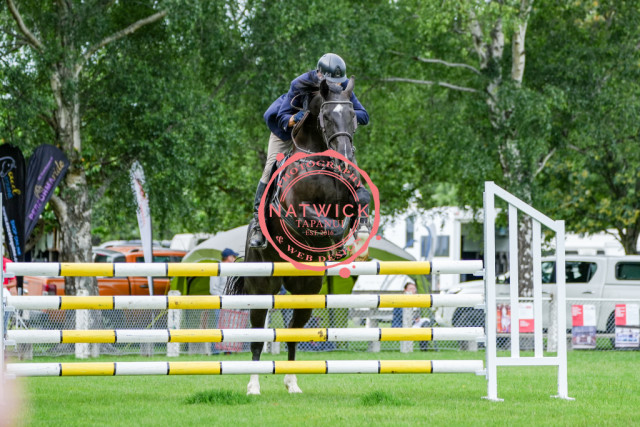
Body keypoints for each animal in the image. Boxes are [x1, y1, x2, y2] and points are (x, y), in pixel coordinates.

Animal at [226, 76, 371, 395]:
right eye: (326, 117)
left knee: (292, 332)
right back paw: (253, 385)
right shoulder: (298, 210)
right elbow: (328, 224)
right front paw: (341, 244)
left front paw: (356, 236)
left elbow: (360, 200)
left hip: (307, 290)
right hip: (262, 287)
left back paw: (292, 382)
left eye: (353, 116)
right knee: (257, 336)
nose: (345, 157)